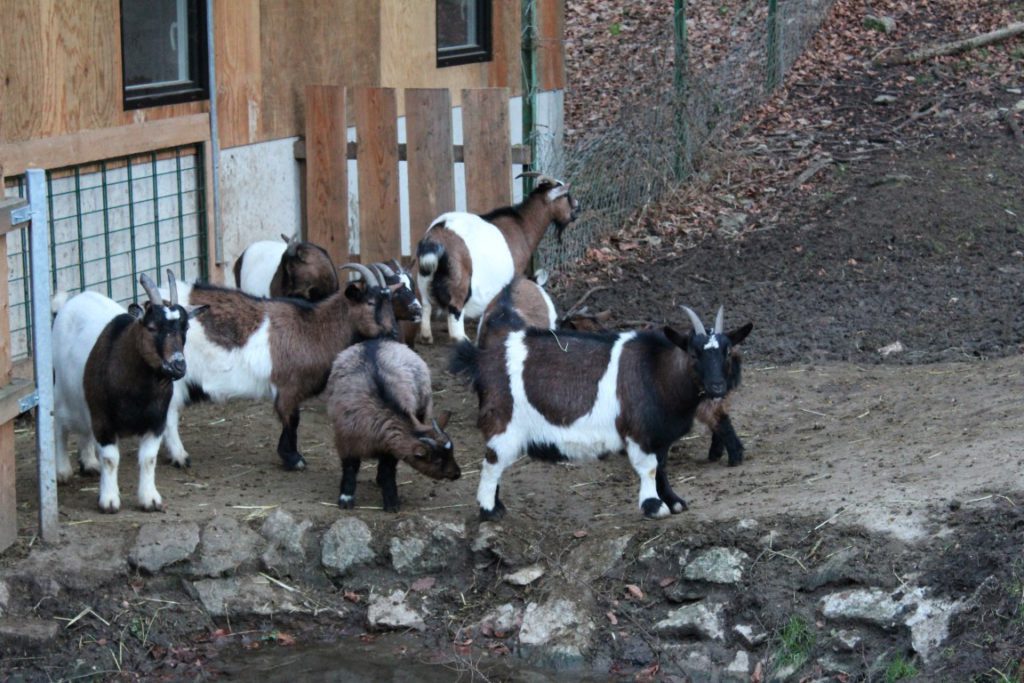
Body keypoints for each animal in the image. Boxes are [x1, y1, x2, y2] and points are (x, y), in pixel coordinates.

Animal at [52, 272, 205, 511]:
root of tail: (70, 303)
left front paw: (150, 499)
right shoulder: (104, 420)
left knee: (84, 430)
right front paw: (109, 501)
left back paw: (89, 463)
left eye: (185, 328)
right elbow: (110, 459)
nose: (178, 365)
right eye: (151, 327)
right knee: (59, 425)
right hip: (62, 391)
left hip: (84, 402)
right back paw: (62, 471)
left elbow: (149, 459)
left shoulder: (156, 422)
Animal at [161, 264, 397, 473]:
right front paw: (294, 459)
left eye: (390, 302)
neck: (315, 329)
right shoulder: (288, 386)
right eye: (370, 302)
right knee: (170, 415)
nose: (393, 333)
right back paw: (181, 457)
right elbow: (292, 420)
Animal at [327, 339, 460, 509]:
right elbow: (350, 467)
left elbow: (387, 471)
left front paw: (391, 502)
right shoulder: (346, 440)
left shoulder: (390, 447)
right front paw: (346, 498)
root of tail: (375, 341)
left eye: (451, 453)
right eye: (437, 460)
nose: (457, 474)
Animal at [413, 178, 577, 348]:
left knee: (426, 303)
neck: (523, 226)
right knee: (455, 307)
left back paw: (426, 337)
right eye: (566, 195)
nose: (576, 210)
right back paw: (461, 339)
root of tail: (434, 238)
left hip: (425, 274)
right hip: (461, 278)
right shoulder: (517, 271)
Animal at [450, 301, 753, 520]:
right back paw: (490, 511)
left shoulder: (659, 436)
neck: (657, 372)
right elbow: (649, 469)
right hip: (503, 422)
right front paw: (654, 507)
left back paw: (496, 505)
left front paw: (674, 501)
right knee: (492, 463)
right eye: (693, 352)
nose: (717, 386)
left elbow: (662, 467)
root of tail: (481, 360)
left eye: (727, 351)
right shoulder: (639, 432)